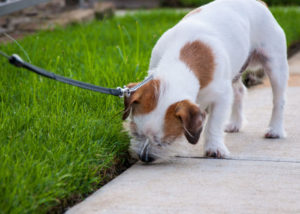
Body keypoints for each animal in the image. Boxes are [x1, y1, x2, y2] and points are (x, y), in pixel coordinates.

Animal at [122, 0, 288, 162]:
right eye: (135, 133)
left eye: (166, 142)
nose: (144, 157)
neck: (179, 62)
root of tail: (260, 3)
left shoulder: (222, 96)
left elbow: (213, 123)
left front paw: (214, 148)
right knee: (239, 91)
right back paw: (235, 123)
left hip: (275, 63)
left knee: (278, 100)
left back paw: (275, 129)